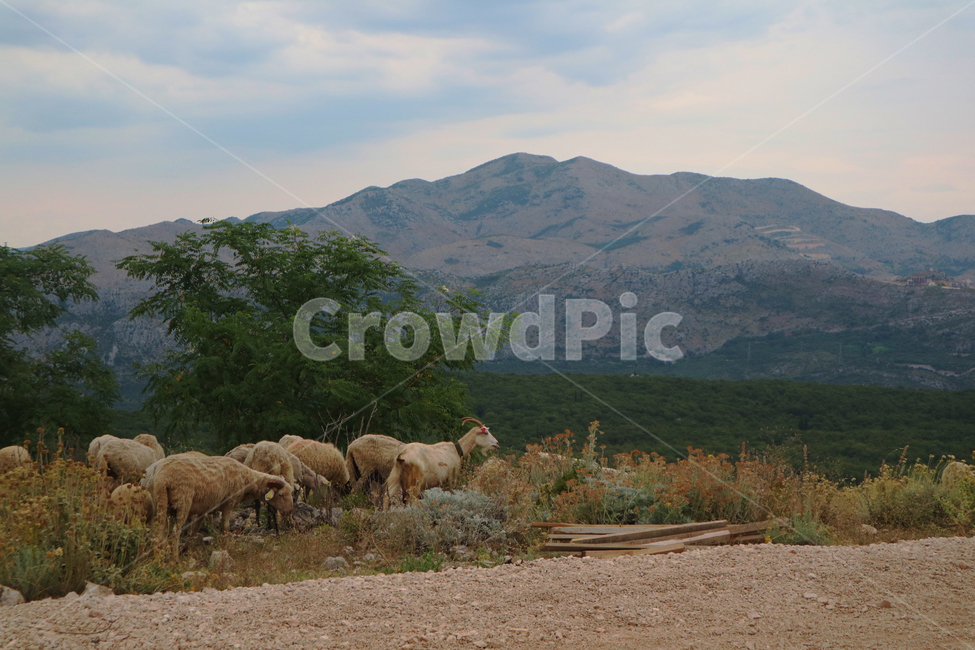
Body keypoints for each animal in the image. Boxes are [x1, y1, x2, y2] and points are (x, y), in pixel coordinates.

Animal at [149, 454, 293, 557]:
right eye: (281, 494)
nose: (289, 511)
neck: (246, 481)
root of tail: (164, 477)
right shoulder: (228, 503)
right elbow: (225, 527)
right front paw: (225, 546)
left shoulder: (204, 508)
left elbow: (195, 529)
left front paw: (185, 549)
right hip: (182, 501)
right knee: (175, 532)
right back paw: (174, 559)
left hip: (161, 501)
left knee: (159, 532)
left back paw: (158, 557)